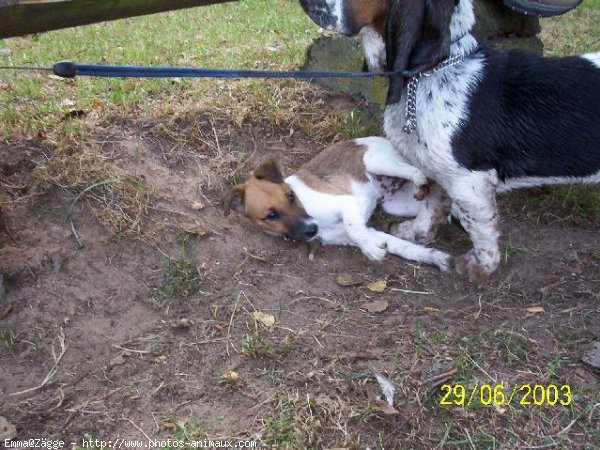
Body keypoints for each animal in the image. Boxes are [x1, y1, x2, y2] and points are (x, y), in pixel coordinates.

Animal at [223, 137, 452, 270]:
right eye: (271, 216)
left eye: (290, 196)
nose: (312, 229)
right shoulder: (359, 232)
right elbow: (403, 247)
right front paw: (435, 258)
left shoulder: (347, 203)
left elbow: (353, 228)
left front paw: (371, 250)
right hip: (396, 204)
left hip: (377, 162)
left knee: (419, 172)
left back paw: (422, 185)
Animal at [300, 0, 600, 282]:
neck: (434, 70)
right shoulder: (437, 170)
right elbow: (432, 205)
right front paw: (415, 232)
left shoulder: (469, 183)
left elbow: (480, 230)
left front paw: (479, 267)